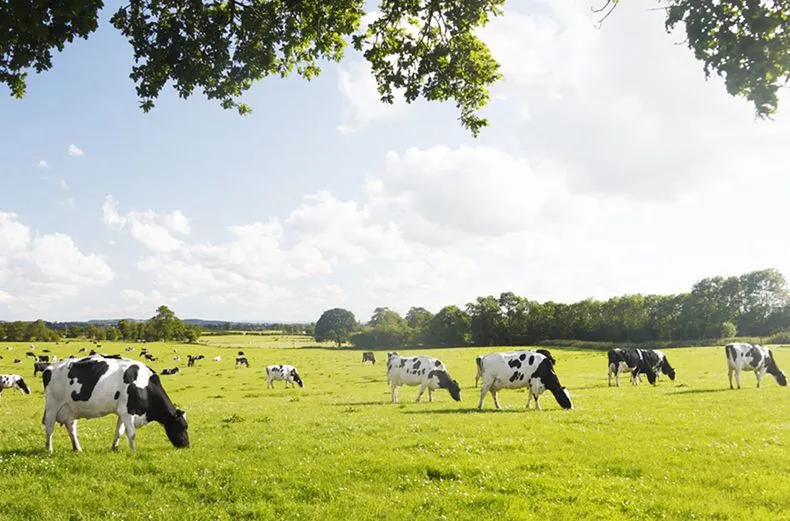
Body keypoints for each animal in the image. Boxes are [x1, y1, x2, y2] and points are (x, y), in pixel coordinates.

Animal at [40, 354, 190, 450]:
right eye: (182, 427)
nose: (187, 445)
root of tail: (49, 368)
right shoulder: (128, 411)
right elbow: (131, 433)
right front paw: (133, 452)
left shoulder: (122, 412)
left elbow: (119, 431)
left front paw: (115, 448)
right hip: (52, 406)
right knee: (49, 427)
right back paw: (49, 450)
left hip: (70, 408)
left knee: (71, 427)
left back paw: (77, 448)